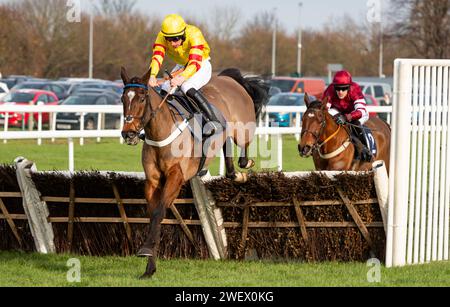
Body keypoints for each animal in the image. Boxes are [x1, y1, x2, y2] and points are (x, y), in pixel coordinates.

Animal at [119, 67, 268, 280]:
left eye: (141, 98)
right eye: (123, 98)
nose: (128, 133)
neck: (161, 132)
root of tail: (230, 79)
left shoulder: (176, 177)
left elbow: (159, 212)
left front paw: (146, 250)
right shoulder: (152, 182)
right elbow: (153, 216)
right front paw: (149, 268)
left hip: (243, 129)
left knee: (243, 146)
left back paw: (245, 166)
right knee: (227, 150)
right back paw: (233, 173)